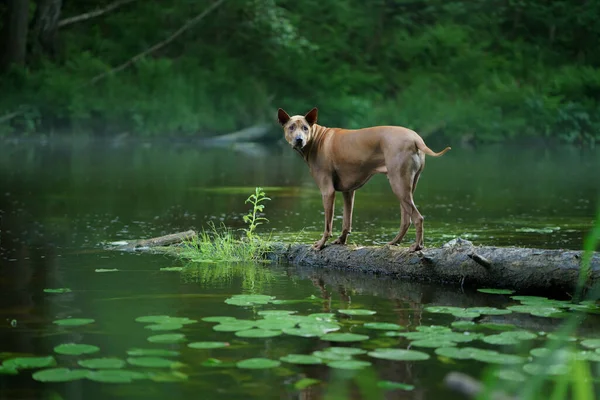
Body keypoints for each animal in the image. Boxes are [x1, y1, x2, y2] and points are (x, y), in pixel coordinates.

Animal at [276, 108, 450, 252]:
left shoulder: (328, 191)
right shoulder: (348, 191)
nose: (299, 139)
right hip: (407, 186)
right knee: (406, 220)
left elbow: (328, 224)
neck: (317, 140)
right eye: (291, 127)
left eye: (305, 128)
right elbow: (346, 221)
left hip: (398, 184)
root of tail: (416, 139)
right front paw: (341, 240)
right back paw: (395, 242)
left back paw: (416, 246)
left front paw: (321, 244)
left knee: (418, 218)